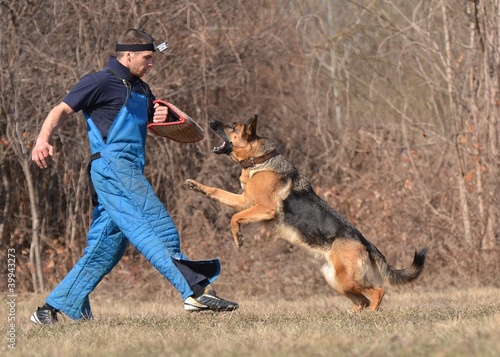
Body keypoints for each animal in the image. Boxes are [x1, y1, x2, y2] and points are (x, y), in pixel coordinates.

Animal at [186, 115, 428, 310]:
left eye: (231, 126)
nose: (210, 120)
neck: (260, 161)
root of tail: (364, 241)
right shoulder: (244, 201)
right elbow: (217, 192)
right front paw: (195, 186)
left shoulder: (263, 208)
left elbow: (234, 217)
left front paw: (238, 238)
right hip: (336, 280)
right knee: (362, 301)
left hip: (347, 279)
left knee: (377, 292)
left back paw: (372, 316)